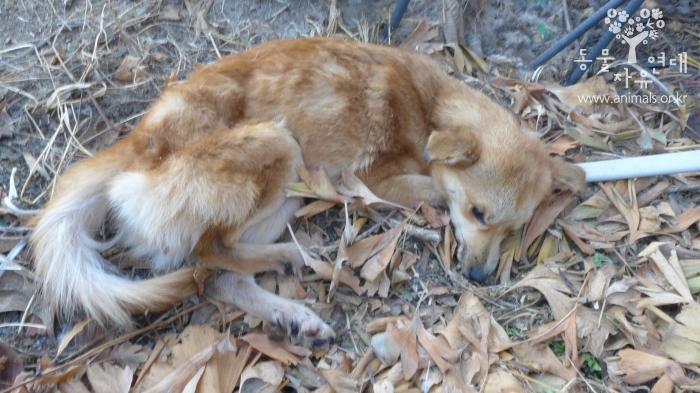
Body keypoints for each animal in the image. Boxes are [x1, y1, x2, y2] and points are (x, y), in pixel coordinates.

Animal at [28, 36, 584, 344]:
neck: (428, 105)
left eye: (514, 231)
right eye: (478, 213)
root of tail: (137, 145)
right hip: (279, 144)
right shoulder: (381, 179)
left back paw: (293, 309)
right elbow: (432, 192)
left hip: (292, 186)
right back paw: (285, 262)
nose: (478, 277)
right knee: (210, 250)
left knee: (218, 276)